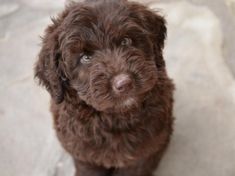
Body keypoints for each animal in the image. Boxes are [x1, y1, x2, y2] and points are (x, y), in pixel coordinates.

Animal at [35, 0, 174, 176]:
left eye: (126, 41)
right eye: (85, 58)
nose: (124, 83)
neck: (116, 117)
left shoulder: (142, 153)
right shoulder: (84, 154)